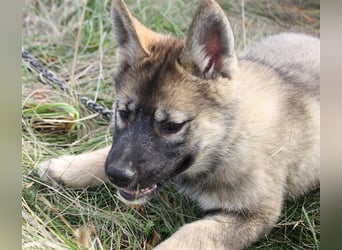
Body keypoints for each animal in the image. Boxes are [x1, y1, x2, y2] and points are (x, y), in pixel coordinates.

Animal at [38, 0, 320, 248]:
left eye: (172, 126)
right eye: (124, 113)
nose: (116, 176)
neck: (229, 138)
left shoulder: (255, 215)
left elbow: (194, 234)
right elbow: (106, 151)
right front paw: (67, 167)